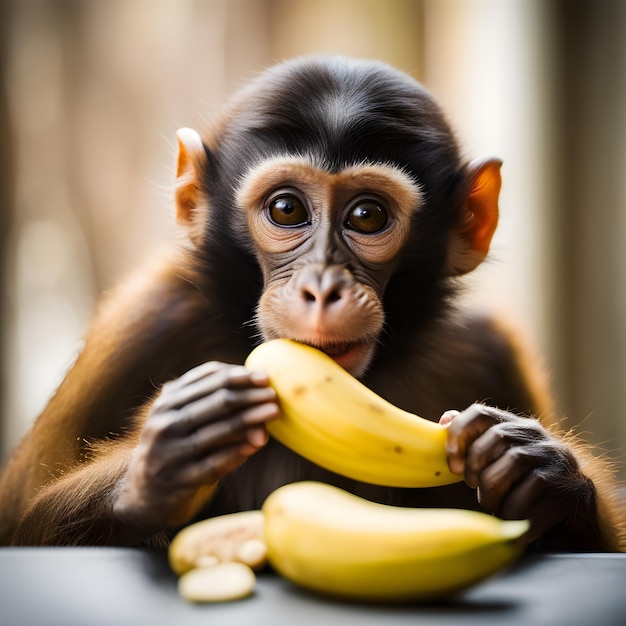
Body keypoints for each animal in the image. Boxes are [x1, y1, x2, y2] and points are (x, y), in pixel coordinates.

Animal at [0, 56, 620, 548]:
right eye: (286, 210)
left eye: (367, 216)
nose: (322, 287)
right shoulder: (144, 322)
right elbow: (18, 520)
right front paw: (161, 465)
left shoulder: (488, 346)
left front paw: (544, 474)